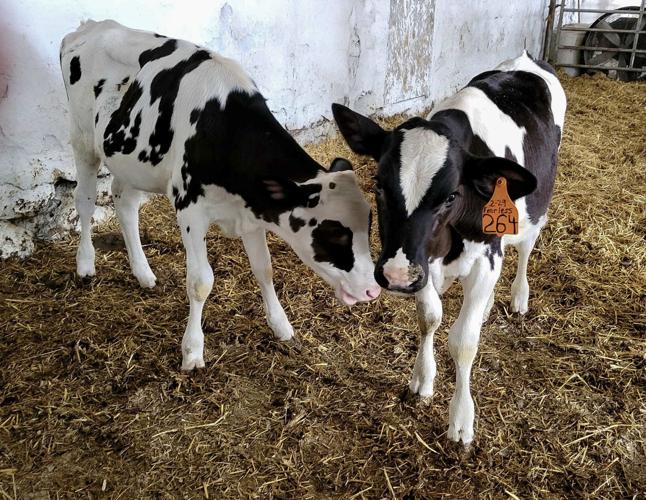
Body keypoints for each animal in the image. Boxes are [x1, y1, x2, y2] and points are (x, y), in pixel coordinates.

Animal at [60, 20, 380, 371]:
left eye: (369, 226)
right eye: (334, 234)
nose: (373, 291)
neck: (224, 128)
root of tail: (91, 26)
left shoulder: (253, 210)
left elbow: (264, 269)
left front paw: (281, 325)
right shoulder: (190, 210)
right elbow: (201, 282)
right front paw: (192, 351)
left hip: (134, 160)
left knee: (124, 200)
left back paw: (143, 273)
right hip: (82, 139)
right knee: (85, 200)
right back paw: (85, 263)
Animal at [332, 52, 566, 444]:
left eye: (451, 196)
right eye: (378, 184)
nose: (395, 276)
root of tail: (526, 59)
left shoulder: (485, 257)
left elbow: (464, 342)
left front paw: (461, 419)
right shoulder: (423, 261)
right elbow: (429, 317)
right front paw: (422, 379)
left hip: (535, 210)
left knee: (525, 249)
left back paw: (519, 297)